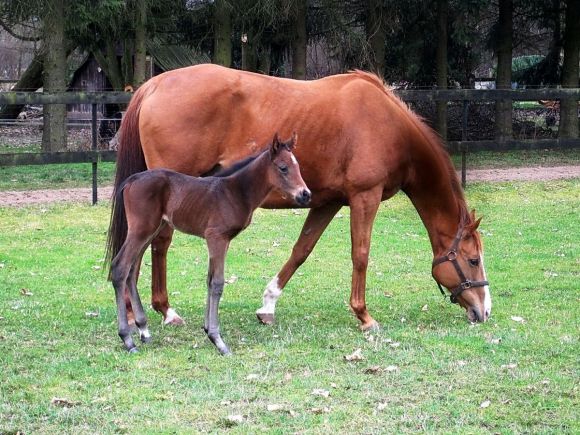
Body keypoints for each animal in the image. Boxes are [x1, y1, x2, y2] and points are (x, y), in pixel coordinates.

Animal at [108, 134, 308, 354]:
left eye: (298, 166)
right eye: (283, 167)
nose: (305, 194)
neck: (235, 192)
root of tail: (132, 179)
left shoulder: (222, 241)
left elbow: (210, 280)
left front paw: (207, 330)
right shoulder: (216, 238)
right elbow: (218, 283)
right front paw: (218, 340)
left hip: (151, 230)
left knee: (131, 270)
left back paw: (144, 330)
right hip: (141, 230)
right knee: (120, 267)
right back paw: (127, 339)